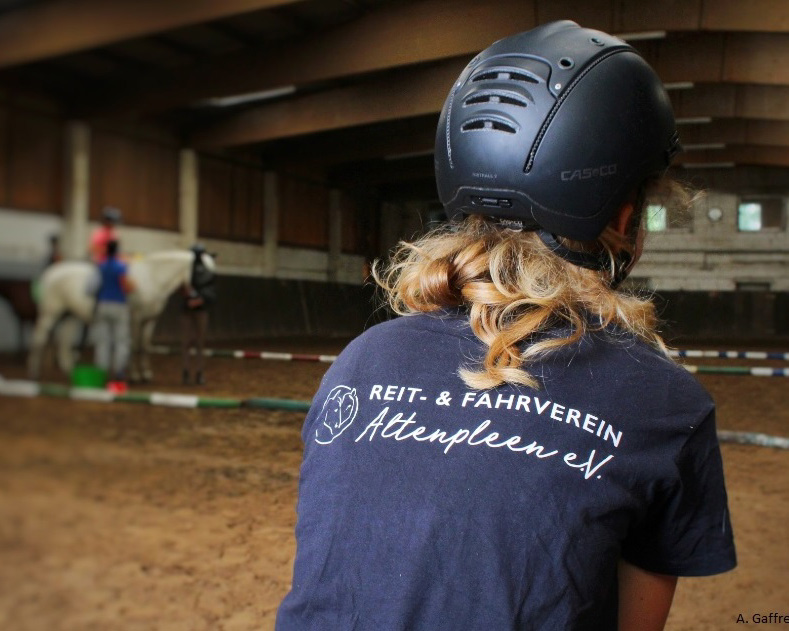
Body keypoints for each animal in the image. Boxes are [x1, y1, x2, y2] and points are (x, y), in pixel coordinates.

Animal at [28, 251, 215, 380]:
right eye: (201, 270)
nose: (209, 298)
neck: (151, 279)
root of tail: (51, 273)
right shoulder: (135, 319)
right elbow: (135, 346)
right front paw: (134, 375)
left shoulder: (150, 321)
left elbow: (145, 346)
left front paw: (146, 373)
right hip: (50, 314)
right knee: (39, 338)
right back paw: (34, 374)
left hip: (70, 315)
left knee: (64, 341)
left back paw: (69, 372)